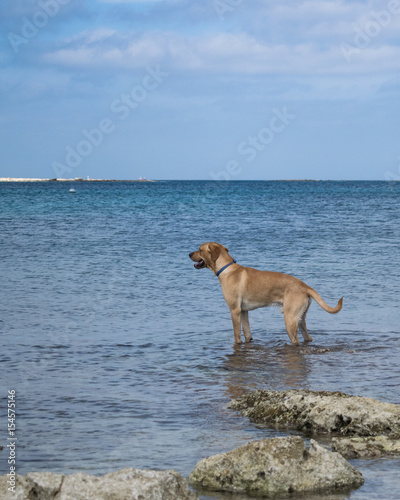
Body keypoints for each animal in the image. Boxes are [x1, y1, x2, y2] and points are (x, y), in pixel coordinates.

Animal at [189, 242, 342, 344]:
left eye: (200, 249)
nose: (189, 253)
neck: (226, 269)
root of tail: (305, 286)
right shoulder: (243, 311)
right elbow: (247, 333)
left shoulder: (234, 310)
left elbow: (237, 336)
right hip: (300, 319)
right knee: (307, 336)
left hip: (289, 319)